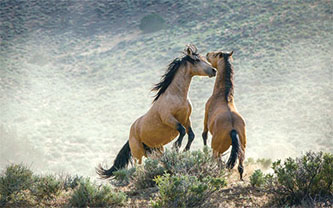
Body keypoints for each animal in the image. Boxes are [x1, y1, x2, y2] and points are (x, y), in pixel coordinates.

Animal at [96, 44, 215, 178]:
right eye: (197, 60)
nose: (214, 71)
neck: (176, 95)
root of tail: (130, 134)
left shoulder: (186, 119)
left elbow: (191, 135)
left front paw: (185, 150)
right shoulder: (169, 119)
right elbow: (182, 131)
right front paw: (176, 147)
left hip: (154, 150)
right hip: (138, 154)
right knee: (138, 167)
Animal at [201, 50, 245, 180]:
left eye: (215, 54)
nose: (207, 54)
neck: (222, 95)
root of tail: (233, 129)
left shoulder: (206, 115)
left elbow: (204, 134)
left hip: (217, 149)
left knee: (218, 161)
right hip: (242, 148)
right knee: (240, 165)